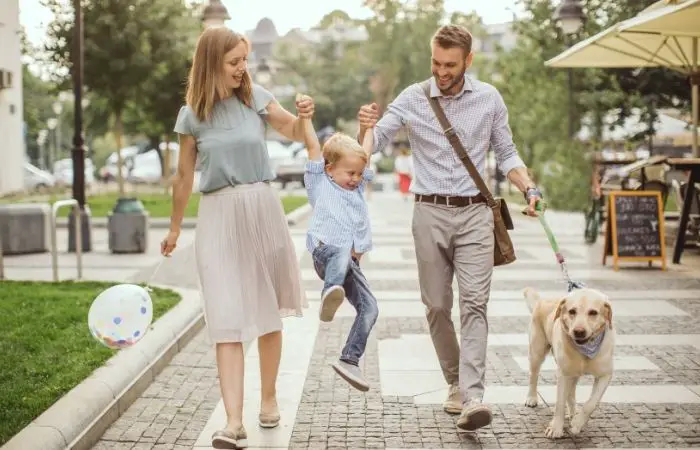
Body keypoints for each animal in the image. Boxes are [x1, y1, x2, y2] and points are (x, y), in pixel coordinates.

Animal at [524, 286, 616, 438]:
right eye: (572, 311)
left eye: (593, 312)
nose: (578, 331)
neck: (586, 350)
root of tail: (542, 300)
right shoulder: (563, 373)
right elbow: (559, 402)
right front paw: (556, 428)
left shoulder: (605, 375)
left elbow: (591, 404)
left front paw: (578, 423)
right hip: (537, 352)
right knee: (533, 376)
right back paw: (531, 398)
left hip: (573, 372)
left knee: (571, 392)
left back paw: (573, 413)